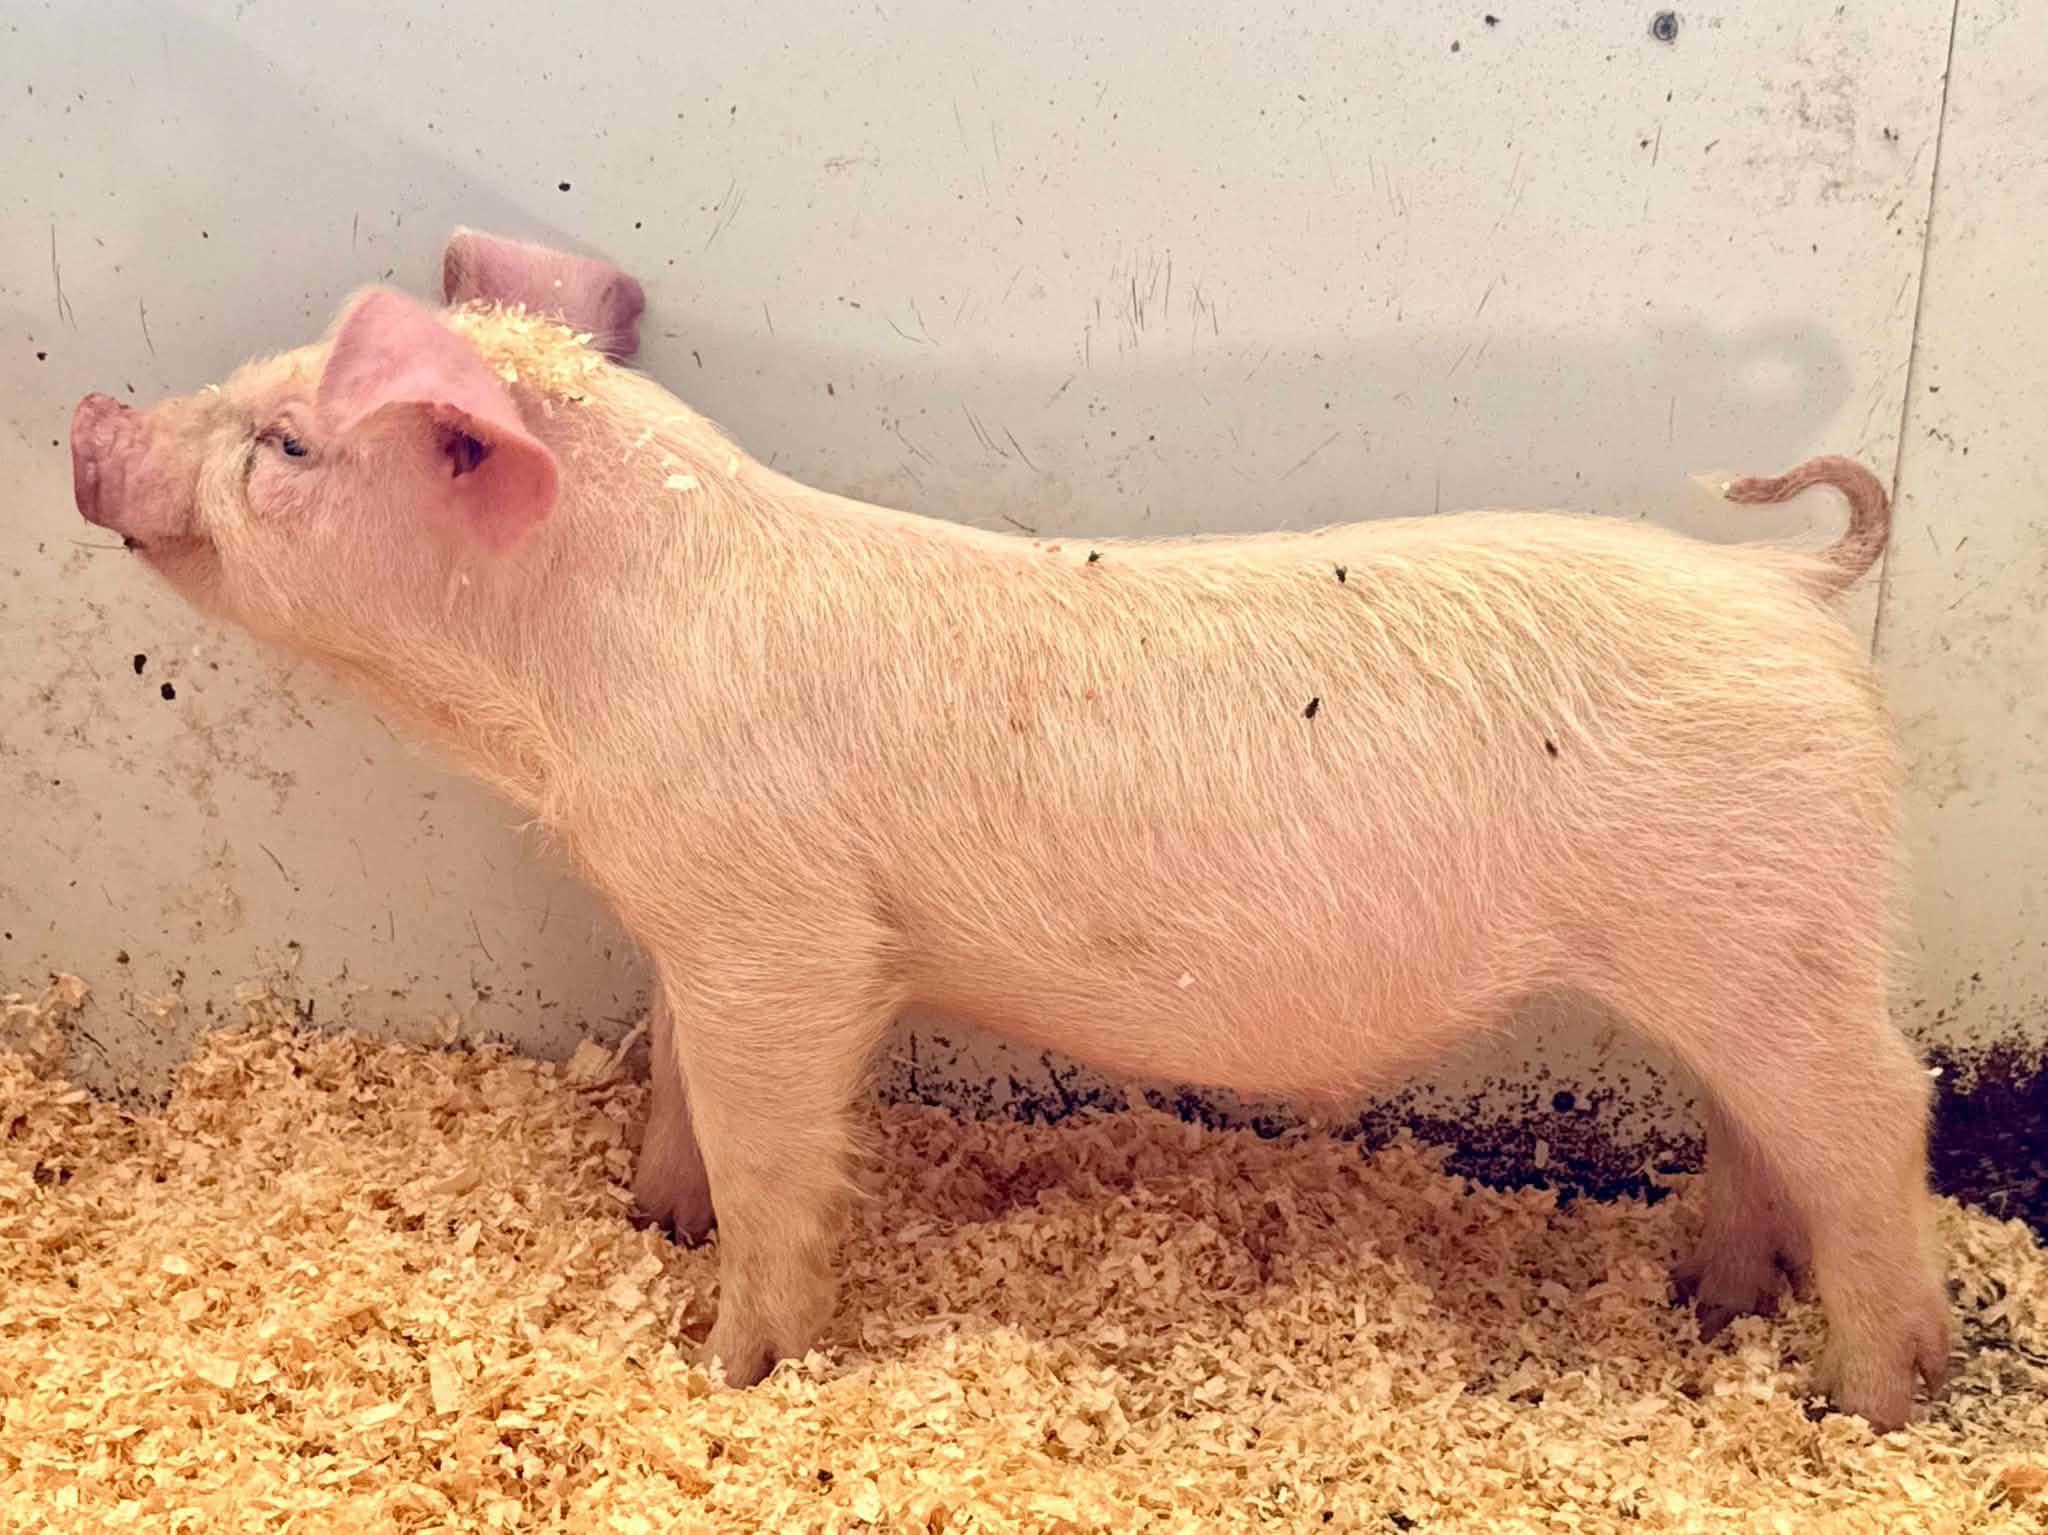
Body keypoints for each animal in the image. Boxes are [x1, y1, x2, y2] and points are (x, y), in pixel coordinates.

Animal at [67, 231, 1950, 1430]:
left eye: (287, 443)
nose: (89, 420)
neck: (579, 678)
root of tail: (1790, 589)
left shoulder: (784, 934)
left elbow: (770, 1144)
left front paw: (733, 1367)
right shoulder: (693, 917)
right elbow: (678, 1087)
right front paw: (653, 1224)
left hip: (1769, 930)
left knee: (1877, 1113)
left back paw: (1868, 1403)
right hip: (1736, 945)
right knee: (1761, 1137)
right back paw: (1713, 1309)